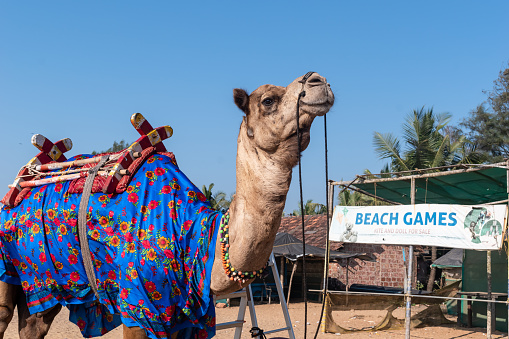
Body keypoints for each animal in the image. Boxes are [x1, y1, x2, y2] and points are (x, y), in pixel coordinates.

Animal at [0, 73, 334, 338]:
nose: (318, 80)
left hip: (46, 284)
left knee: (33, 324)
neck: (197, 238)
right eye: (267, 100)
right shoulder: (140, 307)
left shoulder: (188, 318)